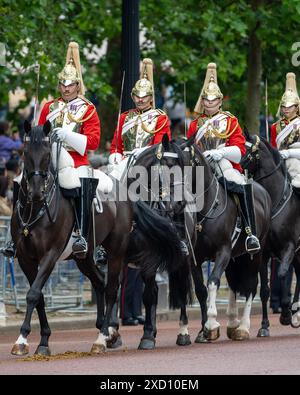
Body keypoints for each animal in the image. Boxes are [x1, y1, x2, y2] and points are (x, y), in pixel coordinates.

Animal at [10, 122, 185, 358]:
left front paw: (22, 339)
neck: (36, 209)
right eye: (26, 154)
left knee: (115, 289)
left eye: (47, 155)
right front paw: (42, 340)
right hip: (84, 258)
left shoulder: (51, 255)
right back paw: (109, 331)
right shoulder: (25, 258)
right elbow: (37, 297)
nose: (36, 192)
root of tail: (125, 193)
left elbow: (33, 294)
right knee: (101, 282)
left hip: (118, 252)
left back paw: (106, 338)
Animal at [241, 133, 300, 334]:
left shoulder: (289, 248)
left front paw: (285, 313)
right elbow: (264, 290)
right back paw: (296, 312)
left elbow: (281, 275)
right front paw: (264, 325)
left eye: (251, 151)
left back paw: (294, 312)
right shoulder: (264, 253)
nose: (239, 166)